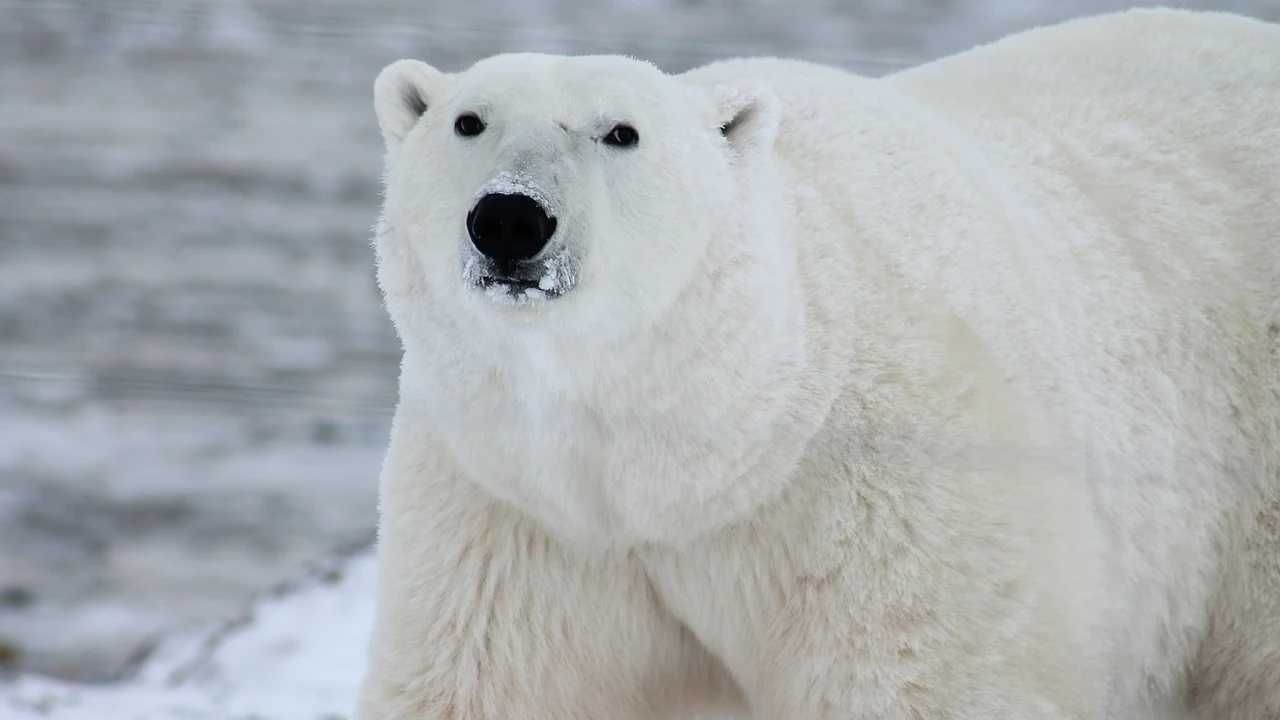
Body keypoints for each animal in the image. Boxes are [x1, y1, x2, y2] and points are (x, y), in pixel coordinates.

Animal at [355, 7, 1280, 717]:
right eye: (468, 121)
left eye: (621, 132)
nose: (510, 218)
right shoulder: (516, 512)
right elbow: (486, 682)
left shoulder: (887, 491)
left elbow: (920, 680)